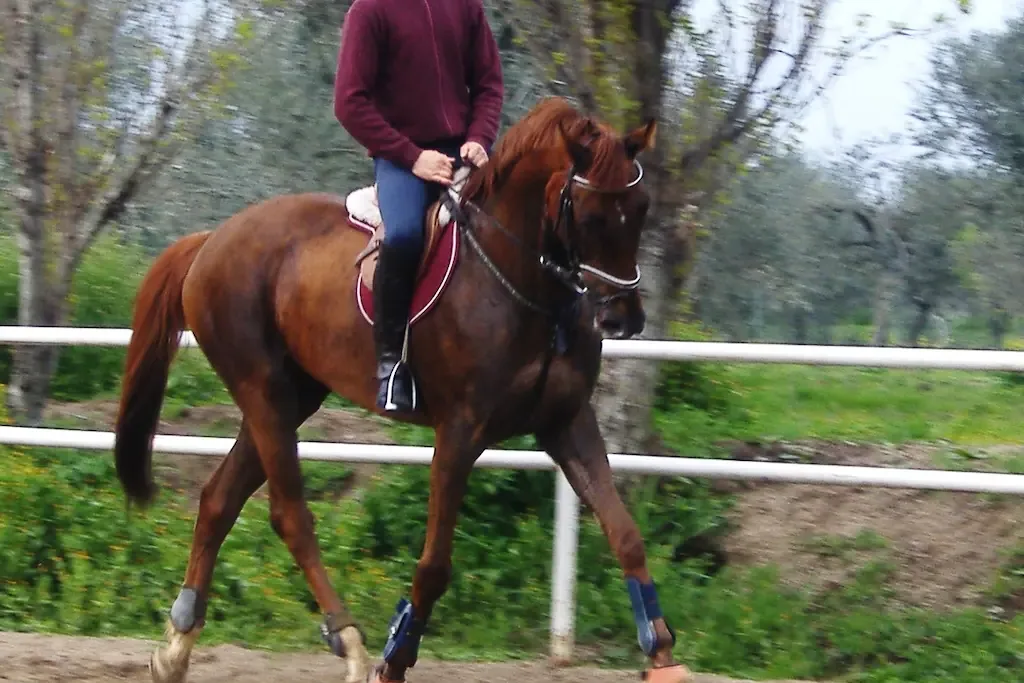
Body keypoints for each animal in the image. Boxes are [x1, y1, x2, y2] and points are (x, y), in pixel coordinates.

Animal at [112, 96, 689, 683]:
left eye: (641, 209)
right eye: (590, 216)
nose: (623, 319)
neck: (521, 284)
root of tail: (211, 240)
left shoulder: (568, 423)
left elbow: (626, 535)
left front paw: (663, 657)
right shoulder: (460, 433)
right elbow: (434, 565)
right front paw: (393, 661)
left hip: (290, 398)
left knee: (219, 500)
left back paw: (175, 648)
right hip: (263, 390)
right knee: (289, 513)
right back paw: (350, 643)